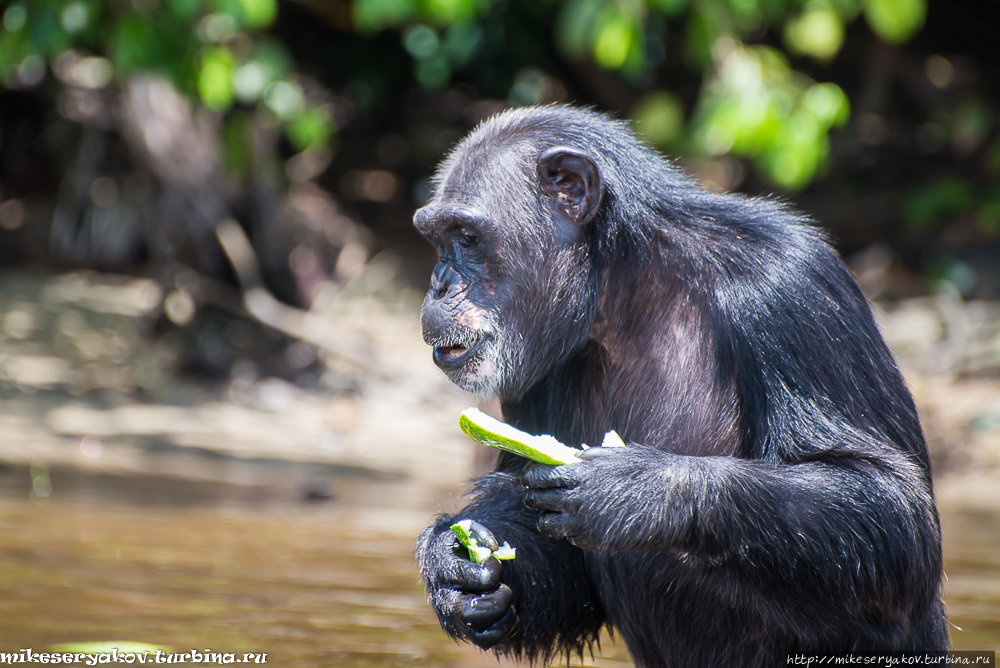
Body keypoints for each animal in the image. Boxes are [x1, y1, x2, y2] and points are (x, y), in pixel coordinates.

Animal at [410, 107, 948, 664]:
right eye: (437, 239)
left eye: (467, 236)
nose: (439, 282)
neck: (620, 291)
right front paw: (454, 562)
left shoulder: (792, 288)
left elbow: (888, 502)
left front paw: (640, 489)